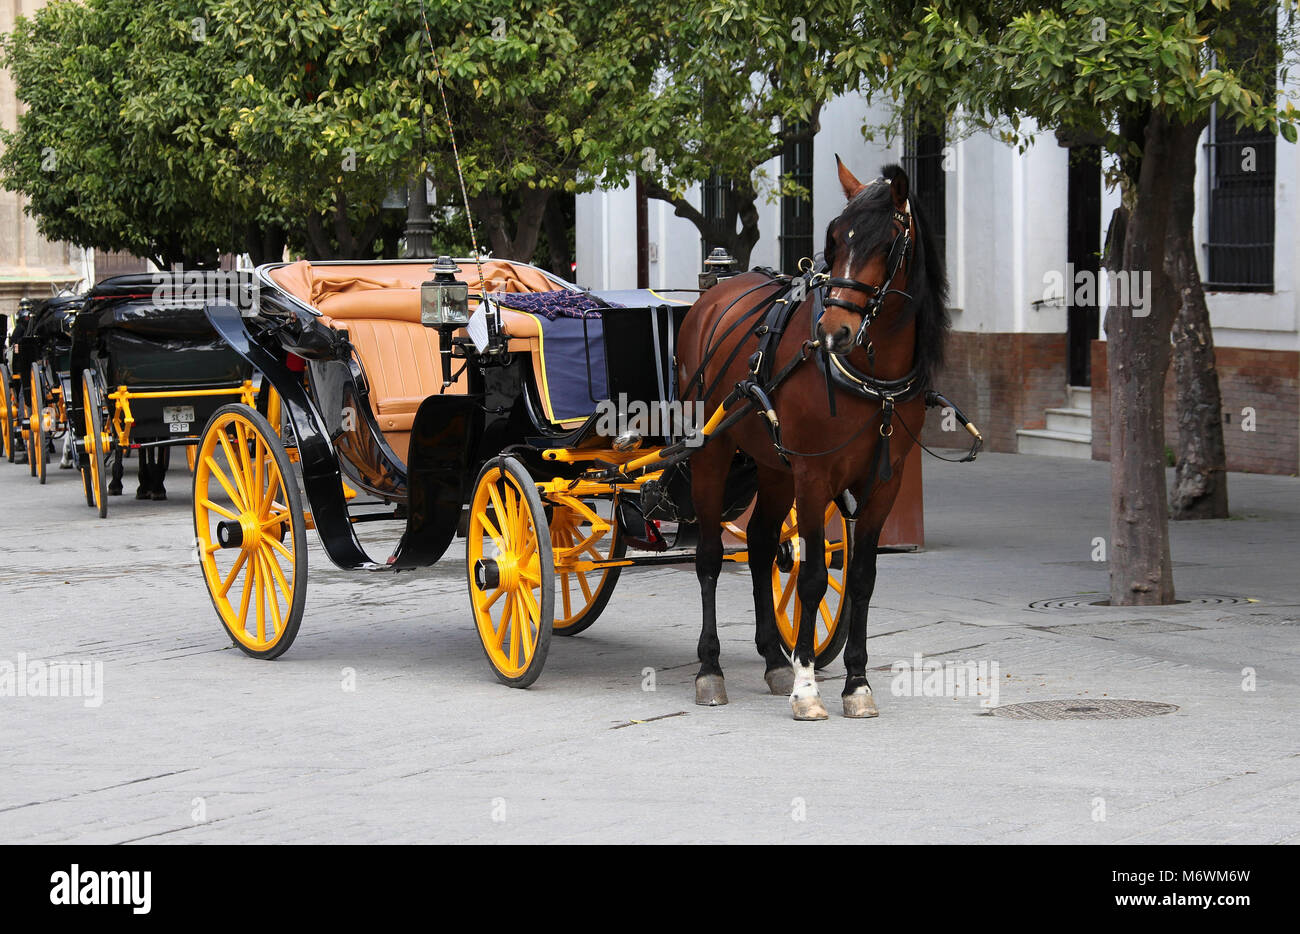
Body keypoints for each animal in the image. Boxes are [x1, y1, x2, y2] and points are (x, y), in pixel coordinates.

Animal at [676, 157, 951, 723]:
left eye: (886, 243)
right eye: (835, 238)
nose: (833, 331)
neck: (870, 374)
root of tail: (710, 295)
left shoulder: (882, 483)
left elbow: (861, 578)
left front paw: (856, 683)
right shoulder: (814, 473)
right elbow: (811, 578)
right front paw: (807, 686)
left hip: (773, 466)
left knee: (761, 547)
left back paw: (772, 660)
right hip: (714, 453)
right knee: (710, 557)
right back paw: (710, 669)